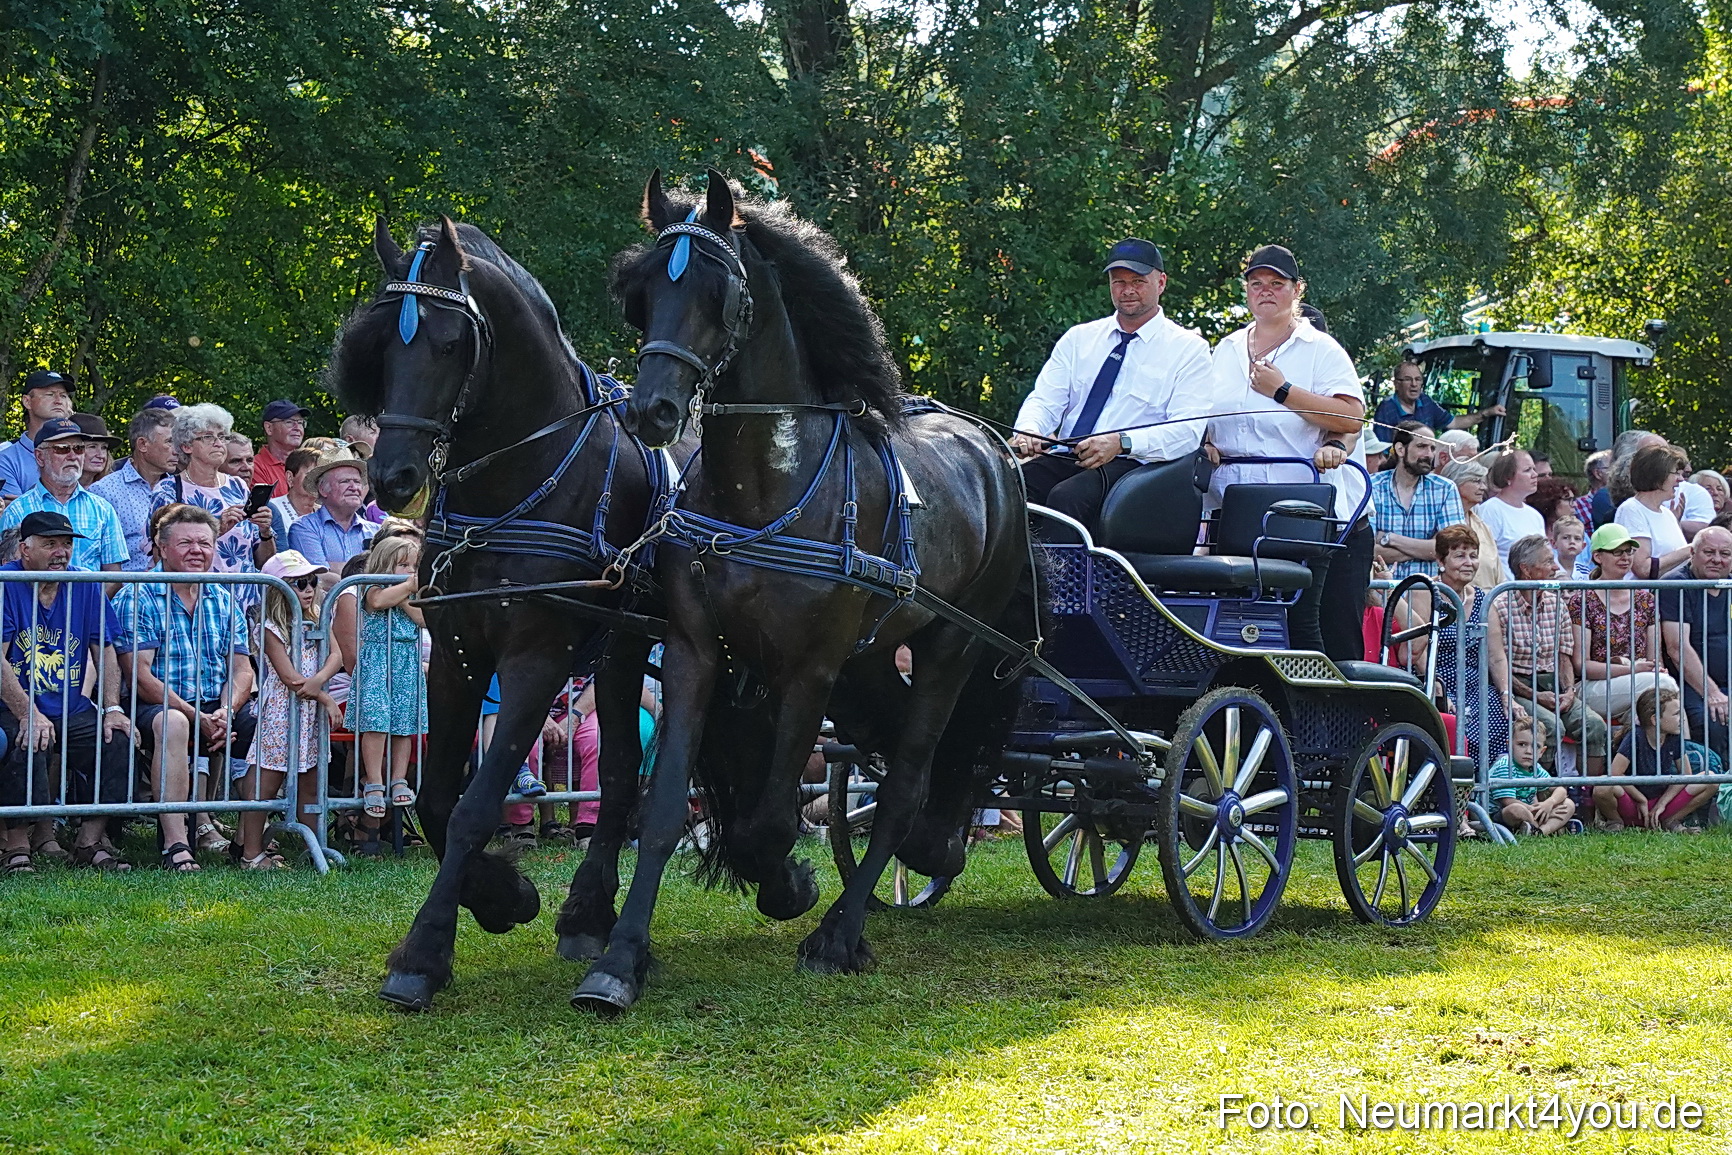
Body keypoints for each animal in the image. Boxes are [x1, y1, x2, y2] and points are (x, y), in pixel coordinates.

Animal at [328, 216, 668, 1012]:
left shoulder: (535, 658)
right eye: (384, 346)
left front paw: (425, 950)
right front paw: (501, 896)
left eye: (450, 343)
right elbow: (433, 798)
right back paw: (587, 914)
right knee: (619, 770)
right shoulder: (457, 652)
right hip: (619, 651)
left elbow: (476, 804)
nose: (393, 475)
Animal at [569, 169, 1032, 1014]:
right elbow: (665, 809)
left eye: (717, 290)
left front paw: (787, 885)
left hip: (952, 646)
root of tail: (995, 449)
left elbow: (768, 824)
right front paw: (618, 959)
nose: (651, 410)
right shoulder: (693, 650)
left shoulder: (810, 670)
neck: (766, 487)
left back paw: (840, 934)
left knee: (907, 779)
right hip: (878, 653)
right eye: (642, 291)